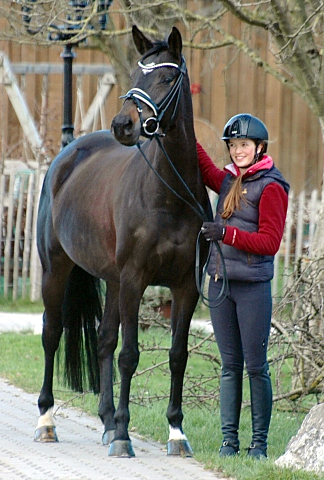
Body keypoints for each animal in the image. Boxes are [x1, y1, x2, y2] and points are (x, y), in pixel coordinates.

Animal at [34, 23, 210, 458]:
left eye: (166, 79)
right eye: (135, 75)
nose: (122, 126)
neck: (167, 196)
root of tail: (68, 152)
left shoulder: (185, 287)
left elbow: (177, 355)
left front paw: (176, 433)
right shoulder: (134, 280)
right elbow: (129, 355)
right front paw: (125, 437)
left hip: (111, 281)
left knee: (102, 342)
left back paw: (107, 421)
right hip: (57, 270)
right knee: (52, 333)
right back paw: (47, 421)